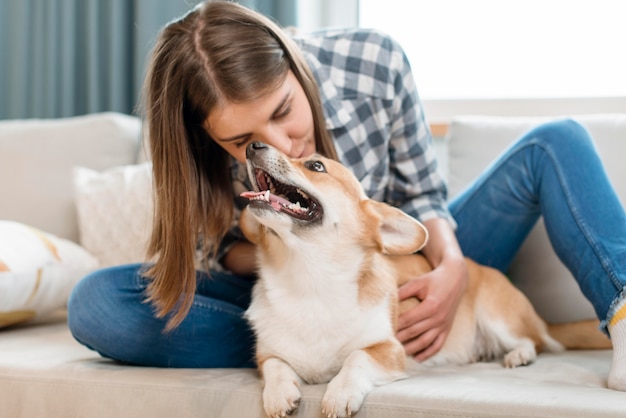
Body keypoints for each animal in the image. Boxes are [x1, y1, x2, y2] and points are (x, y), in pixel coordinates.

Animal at [236, 141, 608, 418]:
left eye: (315, 166)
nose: (252, 145)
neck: (309, 277)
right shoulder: (266, 356)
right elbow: (276, 366)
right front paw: (279, 395)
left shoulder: (389, 350)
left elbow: (356, 359)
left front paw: (339, 394)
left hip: (497, 315)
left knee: (535, 340)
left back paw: (519, 355)